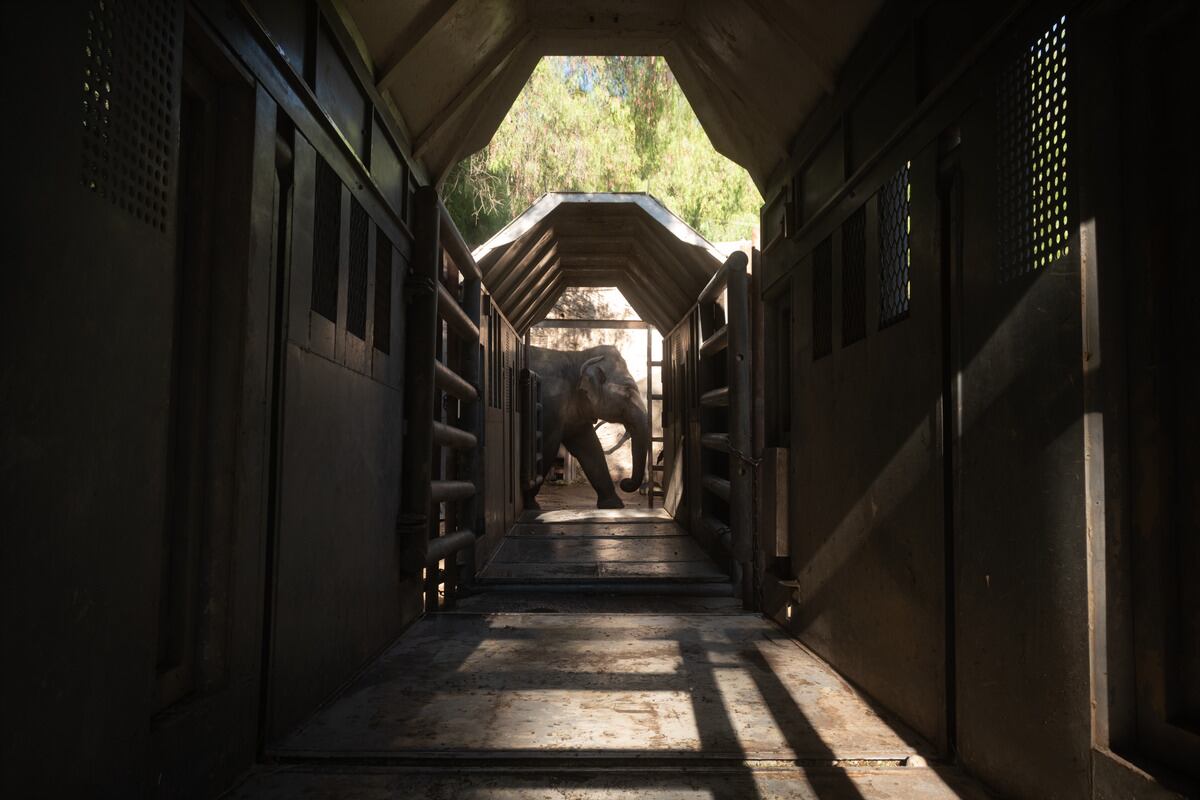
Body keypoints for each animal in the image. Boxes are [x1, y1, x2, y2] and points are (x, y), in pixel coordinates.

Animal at [530, 343, 652, 506]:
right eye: (627, 393)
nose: (624, 482)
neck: (577, 357)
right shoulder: (550, 403)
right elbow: (546, 445)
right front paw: (531, 504)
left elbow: (590, 446)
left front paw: (613, 505)